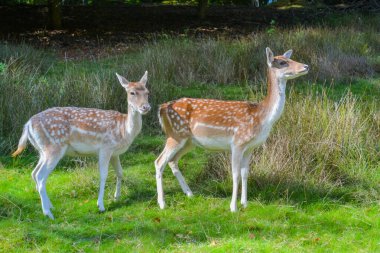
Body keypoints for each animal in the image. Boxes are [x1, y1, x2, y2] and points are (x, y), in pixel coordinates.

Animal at [11, 71, 151, 219]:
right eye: (132, 92)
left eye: (147, 92)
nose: (145, 107)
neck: (124, 130)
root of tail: (27, 125)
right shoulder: (105, 148)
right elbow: (103, 174)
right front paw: (101, 205)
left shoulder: (115, 153)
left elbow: (120, 172)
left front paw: (116, 197)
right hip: (54, 147)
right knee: (40, 176)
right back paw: (48, 213)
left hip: (42, 150)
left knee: (34, 173)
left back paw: (50, 206)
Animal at [154, 47, 308, 211]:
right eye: (283, 62)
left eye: (290, 59)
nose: (306, 66)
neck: (262, 118)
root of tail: (162, 108)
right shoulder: (237, 142)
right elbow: (235, 174)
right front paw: (233, 207)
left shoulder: (250, 147)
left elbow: (245, 173)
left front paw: (245, 203)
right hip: (176, 135)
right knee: (159, 162)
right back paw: (162, 203)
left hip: (188, 141)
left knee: (172, 161)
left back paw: (189, 194)